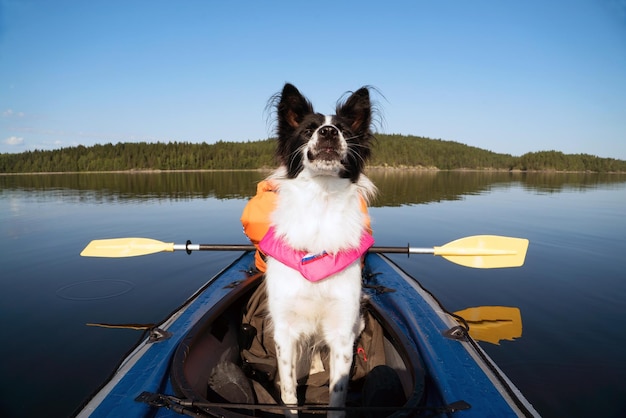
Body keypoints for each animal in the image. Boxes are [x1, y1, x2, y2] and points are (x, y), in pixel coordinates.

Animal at [258, 83, 376, 416]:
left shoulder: (341, 332)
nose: (328, 132)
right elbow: (288, 391)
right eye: (308, 129)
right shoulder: (284, 330)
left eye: (344, 130)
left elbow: (337, 394)